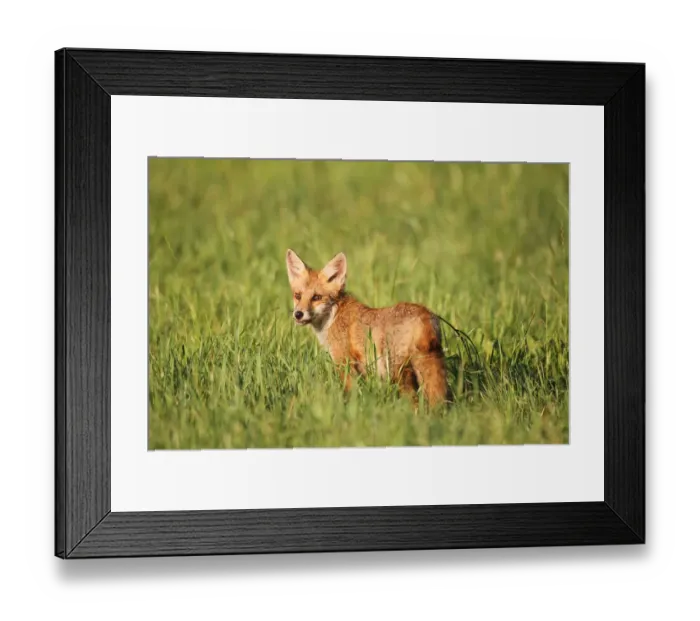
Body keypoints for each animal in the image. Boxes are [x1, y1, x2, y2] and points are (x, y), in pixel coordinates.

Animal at [285, 249, 450, 407]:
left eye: (317, 297)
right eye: (298, 295)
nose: (298, 314)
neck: (334, 315)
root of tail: (425, 314)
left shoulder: (344, 362)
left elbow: (350, 393)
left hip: (398, 372)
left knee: (413, 401)